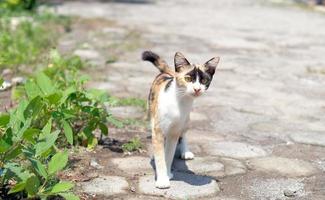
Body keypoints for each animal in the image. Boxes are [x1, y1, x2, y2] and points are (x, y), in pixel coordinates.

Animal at [141, 50, 219, 189]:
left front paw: (167, 174)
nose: (197, 89)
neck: (180, 102)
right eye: (188, 78)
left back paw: (185, 151)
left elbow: (169, 154)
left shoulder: (174, 132)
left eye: (204, 80)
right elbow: (161, 156)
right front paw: (162, 181)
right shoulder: (158, 129)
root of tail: (170, 73)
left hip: (186, 121)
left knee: (184, 134)